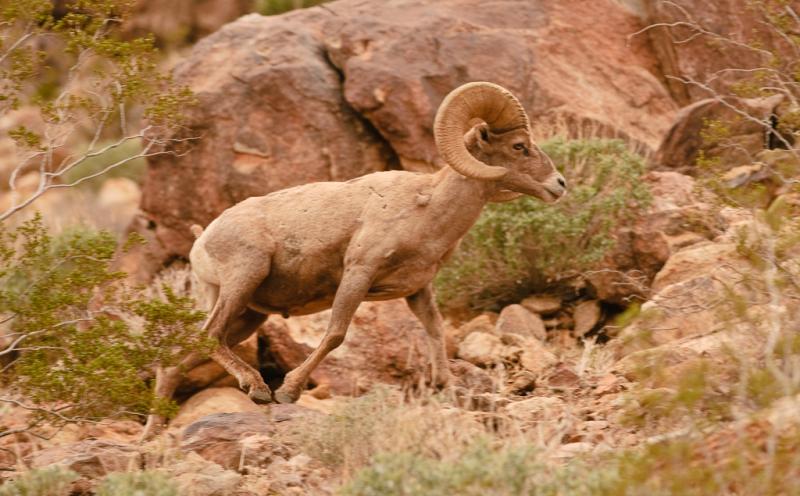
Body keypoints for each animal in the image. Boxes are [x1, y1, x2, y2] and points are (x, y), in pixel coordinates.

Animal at [142, 82, 566, 436]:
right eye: (518, 146)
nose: (559, 185)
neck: (427, 209)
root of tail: (202, 239)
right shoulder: (358, 273)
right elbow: (336, 334)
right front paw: (288, 392)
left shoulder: (418, 291)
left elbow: (435, 334)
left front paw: (448, 392)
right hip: (244, 279)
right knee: (208, 336)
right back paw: (258, 389)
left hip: (248, 315)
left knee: (180, 358)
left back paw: (152, 440)